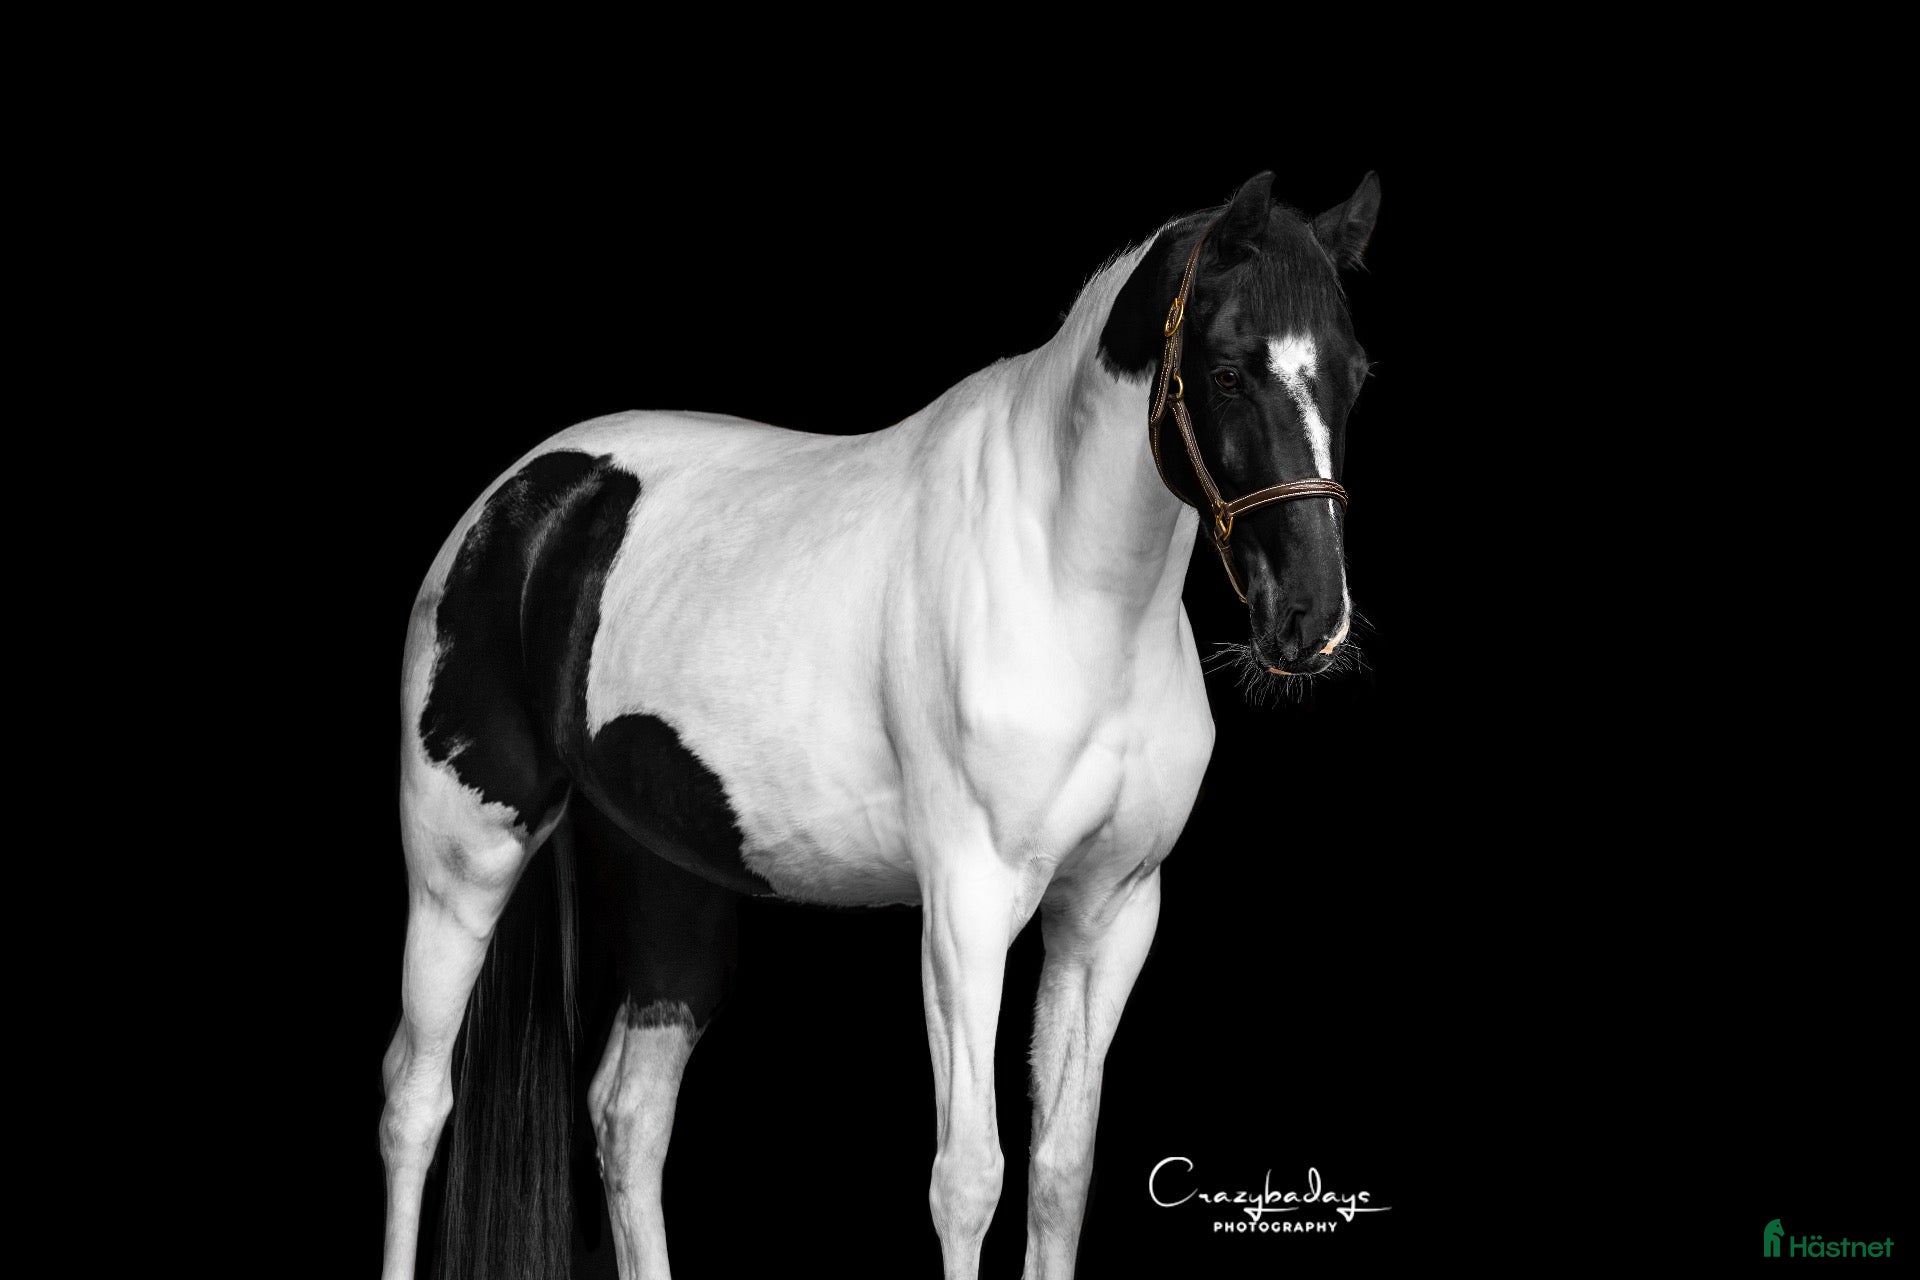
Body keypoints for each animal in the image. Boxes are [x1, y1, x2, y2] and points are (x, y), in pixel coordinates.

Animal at [380, 168, 1382, 1280]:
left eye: (1355, 374)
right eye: (1228, 368)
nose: (1312, 621)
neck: (1068, 583)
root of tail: (519, 500)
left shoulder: (1110, 912)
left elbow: (1061, 1173)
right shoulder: (968, 907)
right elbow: (970, 1178)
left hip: (673, 881)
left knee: (628, 1117)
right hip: (461, 859)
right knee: (415, 1102)